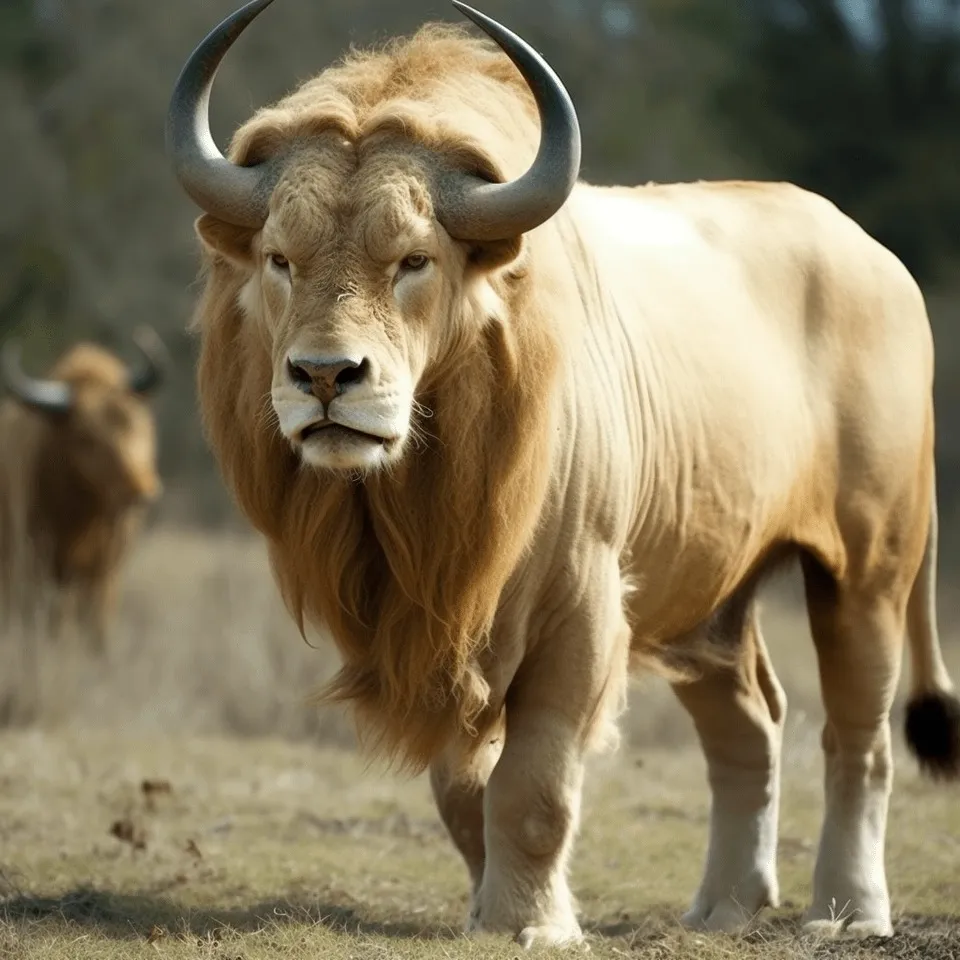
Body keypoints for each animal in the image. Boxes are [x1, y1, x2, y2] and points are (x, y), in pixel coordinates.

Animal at [166, 0, 960, 948]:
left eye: (413, 260)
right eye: (281, 259)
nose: (325, 376)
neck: (417, 494)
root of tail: (883, 260)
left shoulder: (580, 603)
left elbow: (533, 787)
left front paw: (532, 926)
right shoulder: (438, 622)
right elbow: (462, 793)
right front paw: (486, 913)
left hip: (869, 569)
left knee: (857, 740)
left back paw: (847, 915)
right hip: (707, 597)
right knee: (751, 728)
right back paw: (725, 909)